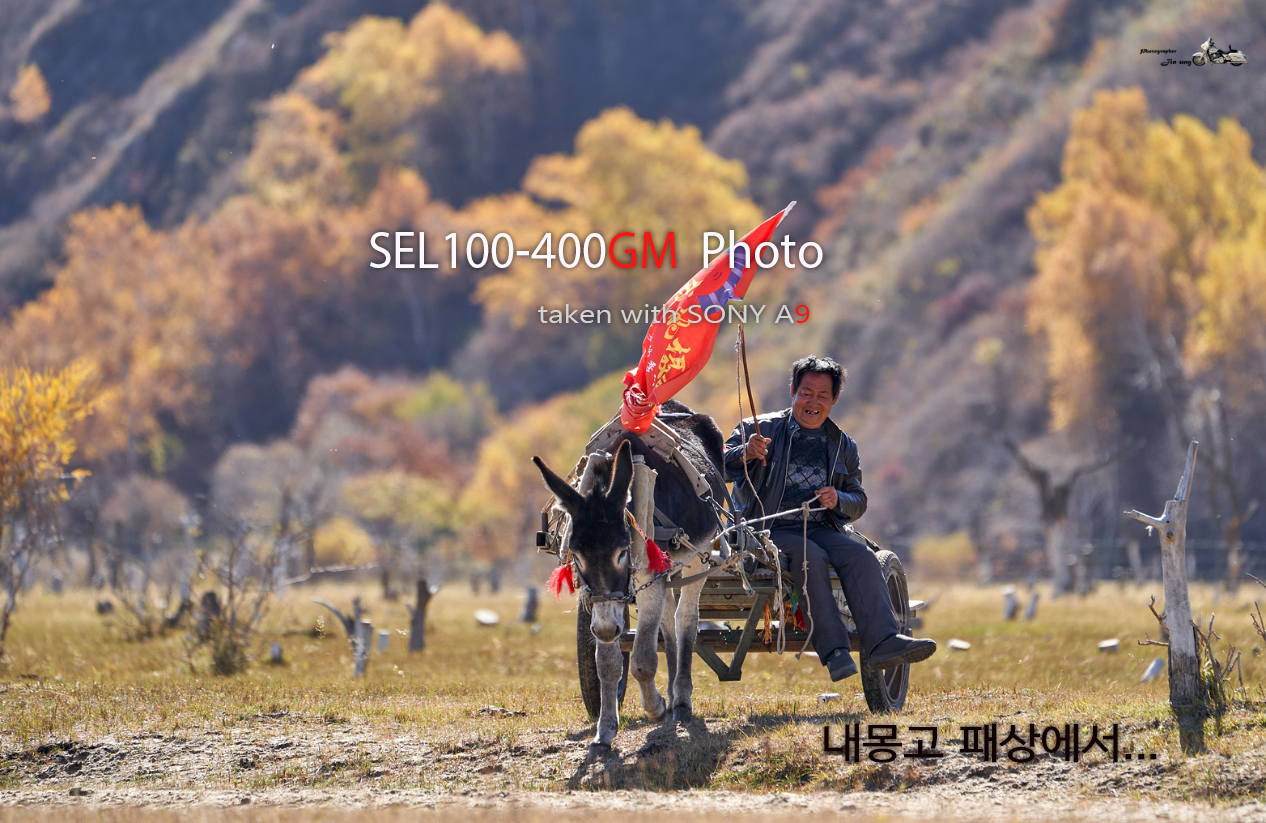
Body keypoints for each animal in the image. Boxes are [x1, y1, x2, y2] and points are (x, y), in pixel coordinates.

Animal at [533, 399, 726, 748]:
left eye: (622, 551)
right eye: (576, 555)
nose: (607, 630)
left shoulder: (647, 580)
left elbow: (643, 661)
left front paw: (655, 708)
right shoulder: (600, 596)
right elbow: (608, 664)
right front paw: (605, 729)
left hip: (699, 557)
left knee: (685, 619)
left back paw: (680, 700)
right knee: (668, 622)